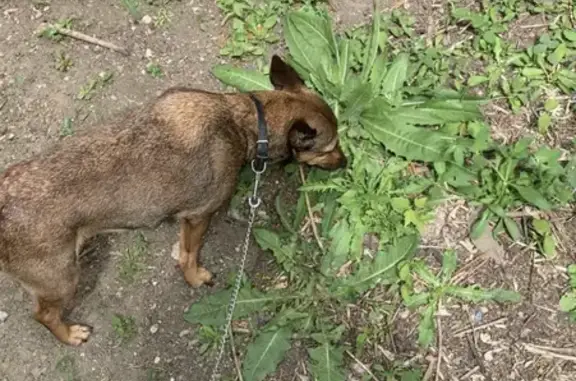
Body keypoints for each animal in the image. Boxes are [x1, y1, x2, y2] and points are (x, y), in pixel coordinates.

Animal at [0, 55, 346, 344]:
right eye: (330, 148)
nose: (345, 162)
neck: (244, 120)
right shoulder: (198, 216)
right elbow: (189, 255)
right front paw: (195, 278)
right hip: (62, 279)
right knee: (43, 314)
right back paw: (70, 335)